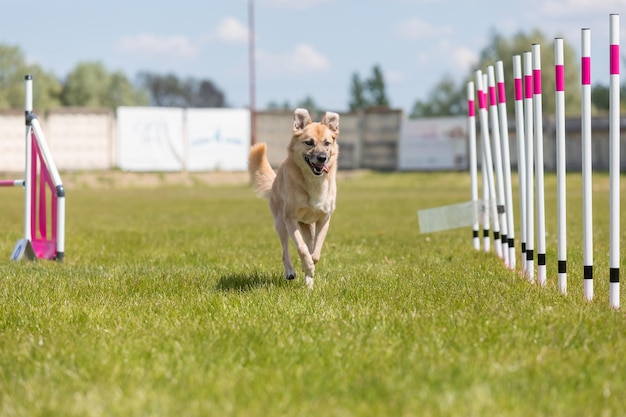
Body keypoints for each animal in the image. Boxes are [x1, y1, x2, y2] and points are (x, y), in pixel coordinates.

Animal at [246, 109, 338, 288]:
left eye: (327, 143)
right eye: (309, 142)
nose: (322, 158)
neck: (313, 182)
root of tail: (274, 181)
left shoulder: (324, 220)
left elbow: (315, 253)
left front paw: (309, 269)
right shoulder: (290, 218)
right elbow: (301, 248)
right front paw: (306, 266)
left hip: (308, 226)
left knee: (309, 244)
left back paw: (309, 282)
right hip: (281, 224)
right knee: (285, 250)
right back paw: (290, 271)